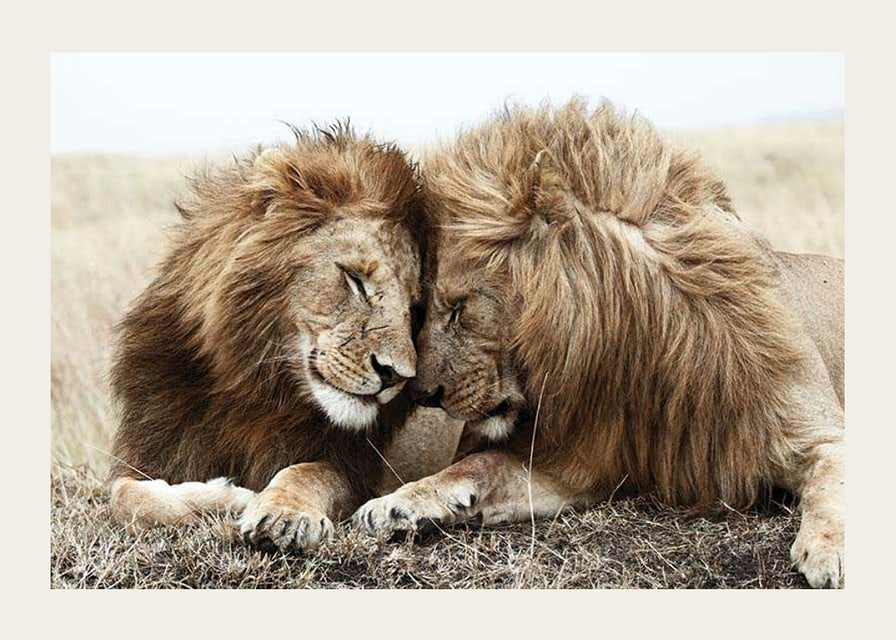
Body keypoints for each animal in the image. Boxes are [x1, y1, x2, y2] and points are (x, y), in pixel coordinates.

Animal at [109, 124, 435, 551]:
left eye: (414, 308)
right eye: (355, 279)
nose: (396, 375)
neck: (254, 386)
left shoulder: (354, 468)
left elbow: (307, 472)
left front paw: (283, 514)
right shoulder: (150, 451)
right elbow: (123, 496)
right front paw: (227, 497)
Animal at [353, 100, 845, 588]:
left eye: (459, 307)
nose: (423, 395)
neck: (639, 347)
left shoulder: (819, 431)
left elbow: (832, 481)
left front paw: (831, 552)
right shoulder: (579, 462)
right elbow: (480, 465)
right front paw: (396, 504)